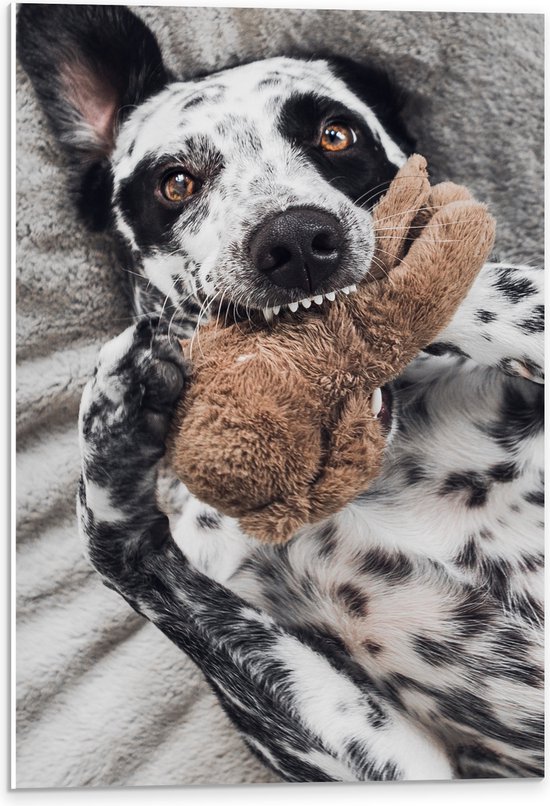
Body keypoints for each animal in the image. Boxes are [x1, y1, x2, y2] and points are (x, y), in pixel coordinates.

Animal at [17, 0, 544, 784]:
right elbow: (120, 548)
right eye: (176, 182)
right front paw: (112, 426)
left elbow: (500, 287)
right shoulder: (393, 762)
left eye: (336, 134)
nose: (297, 241)